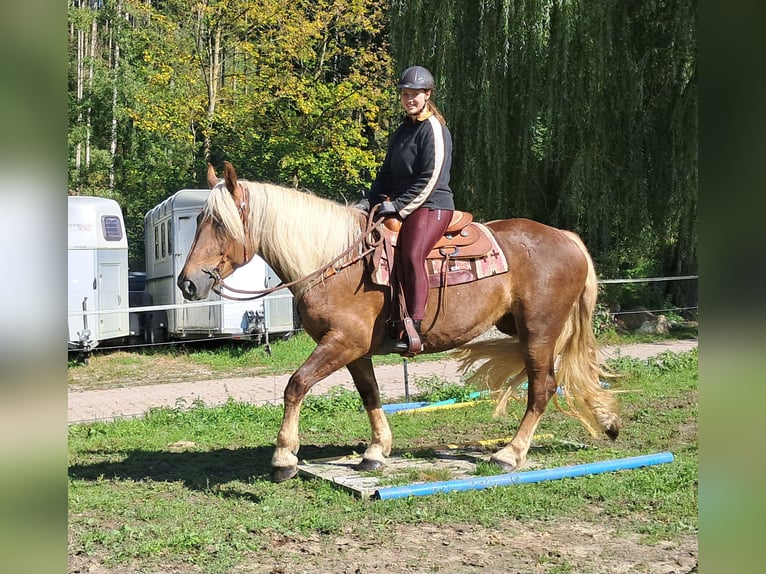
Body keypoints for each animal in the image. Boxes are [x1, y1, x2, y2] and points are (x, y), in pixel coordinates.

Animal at [180, 162, 624, 486]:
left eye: (219, 223)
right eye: (199, 220)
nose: (188, 282)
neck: (338, 262)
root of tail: (566, 237)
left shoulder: (341, 342)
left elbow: (296, 385)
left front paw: (284, 457)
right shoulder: (353, 349)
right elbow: (370, 394)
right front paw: (376, 452)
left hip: (539, 331)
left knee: (543, 387)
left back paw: (510, 454)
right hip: (524, 328)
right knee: (577, 372)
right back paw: (607, 421)